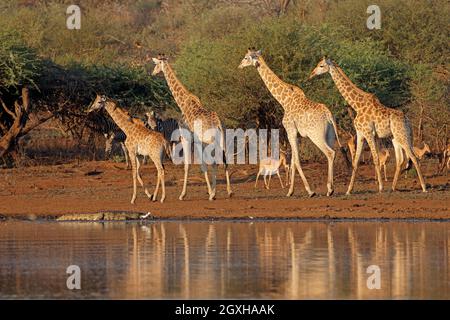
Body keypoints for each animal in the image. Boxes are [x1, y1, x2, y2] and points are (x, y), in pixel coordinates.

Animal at [151, 54, 232, 201]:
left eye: (157, 64)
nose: (153, 73)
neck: (184, 104)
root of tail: (218, 123)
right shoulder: (196, 141)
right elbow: (201, 165)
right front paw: (210, 191)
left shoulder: (186, 138)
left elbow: (188, 165)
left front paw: (183, 194)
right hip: (221, 139)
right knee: (224, 160)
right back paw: (228, 191)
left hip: (209, 141)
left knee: (215, 162)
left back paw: (214, 194)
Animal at [239, 48, 342, 196]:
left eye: (246, 57)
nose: (239, 65)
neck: (284, 101)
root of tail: (328, 115)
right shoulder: (296, 135)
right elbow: (293, 161)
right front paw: (290, 191)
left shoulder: (290, 131)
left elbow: (297, 161)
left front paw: (310, 191)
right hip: (330, 135)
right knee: (332, 152)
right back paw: (330, 189)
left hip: (316, 135)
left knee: (330, 153)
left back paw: (330, 189)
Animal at [310, 56, 426, 194]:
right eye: (318, 64)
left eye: (321, 65)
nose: (312, 74)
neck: (357, 105)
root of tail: (407, 121)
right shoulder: (361, 134)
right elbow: (356, 161)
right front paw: (349, 190)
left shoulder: (368, 133)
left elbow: (376, 159)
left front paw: (380, 187)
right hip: (395, 137)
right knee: (401, 159)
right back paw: (393, 187)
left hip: (402, 136)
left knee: (413, 157)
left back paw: (424, 187)